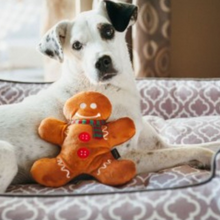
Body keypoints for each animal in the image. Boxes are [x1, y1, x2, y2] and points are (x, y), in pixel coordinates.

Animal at [0, 0, 217, 192]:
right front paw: (207, 159)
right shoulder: (127, 157)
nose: (102, 62)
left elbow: (206, 144)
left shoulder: (158, 143)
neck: (110, 89)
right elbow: (195, 150)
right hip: (8, 155)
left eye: (108, 30)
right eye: (76, 45)